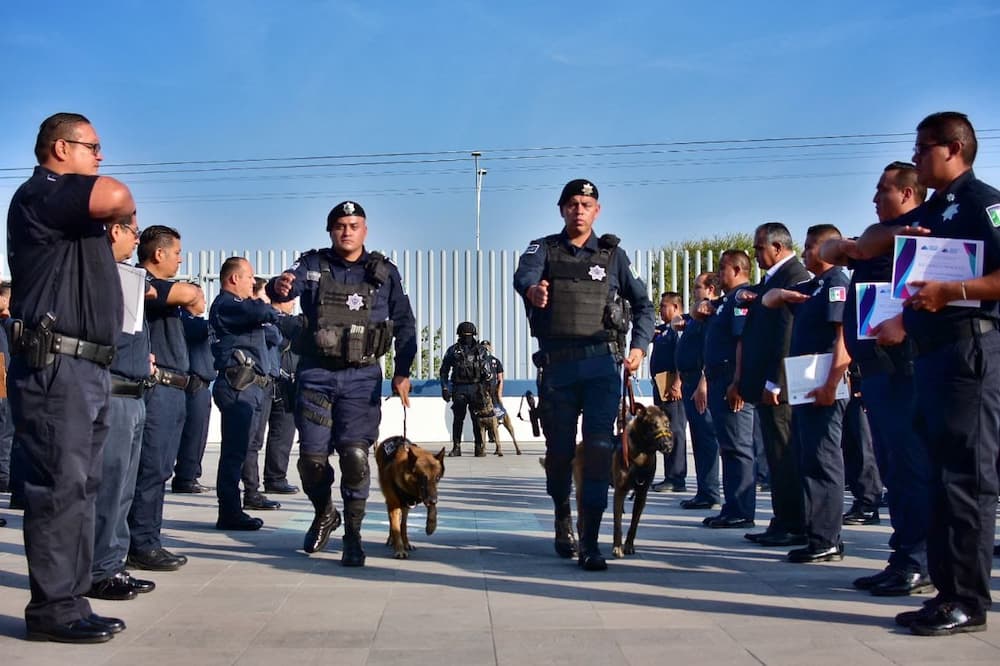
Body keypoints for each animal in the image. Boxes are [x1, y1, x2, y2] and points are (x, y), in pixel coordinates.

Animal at [572, 402, 672, 556]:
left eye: (667, 424)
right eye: (653, 425)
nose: (668, 445)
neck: (642, 454)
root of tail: (580, 444)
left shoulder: (641, 494)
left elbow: (634, 524)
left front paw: (629, 545)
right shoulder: (620, 492)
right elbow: (617, 523)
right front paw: (617, 547)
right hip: (582, 490)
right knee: (580, 521)